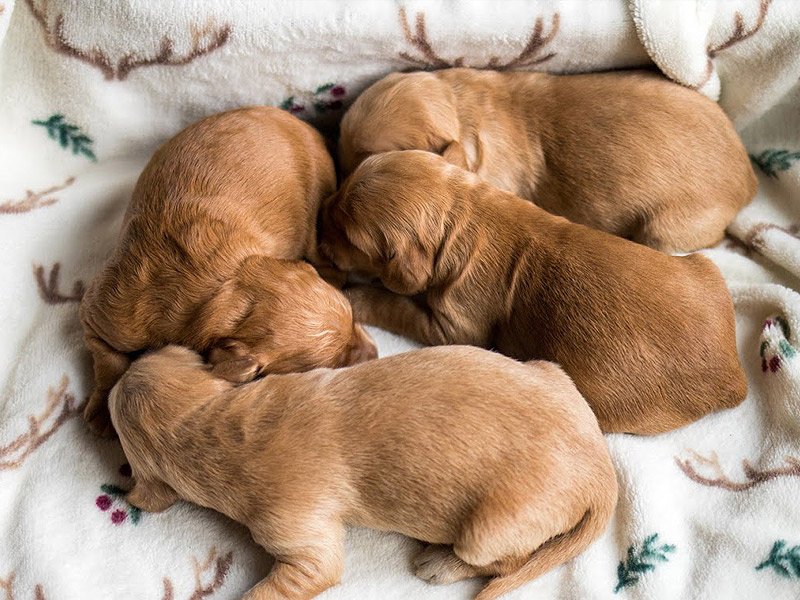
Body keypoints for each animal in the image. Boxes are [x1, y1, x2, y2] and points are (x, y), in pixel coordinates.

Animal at [79, 106, 376, 436]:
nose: (376, 353)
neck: (222, 287)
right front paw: (101, 411)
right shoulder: (106, 310)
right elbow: (108, 360)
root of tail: (302, 124)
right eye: (330, 362)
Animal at [109, 342, 616, 600]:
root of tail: (602, 472)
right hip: (549, 369)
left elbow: (294, 579)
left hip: (488, 530)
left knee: (505, 561)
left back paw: (441, 563)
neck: (209, 426)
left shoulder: (296, 534)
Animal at [320, 152, 752, 436]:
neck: (465, 216)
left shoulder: (455, 325)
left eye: (346, 233)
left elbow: (396, 305)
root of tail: (733, 375)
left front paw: (355, 294)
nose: (320, 211)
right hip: (704, 266)